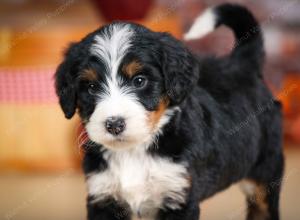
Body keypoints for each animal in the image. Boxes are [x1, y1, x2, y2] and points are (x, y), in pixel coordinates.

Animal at [54, 3, 284, 220]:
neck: (135, 151)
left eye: (139, 81)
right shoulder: (103, 197)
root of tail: (241, 64)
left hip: (266, 171)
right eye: (92, 87)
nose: (114, 124)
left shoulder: (179, 197)